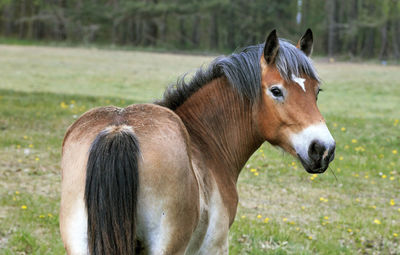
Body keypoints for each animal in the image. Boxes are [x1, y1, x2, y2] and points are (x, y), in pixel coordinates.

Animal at [59, 28, 334, 254]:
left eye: (317, 91)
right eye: (276, 90)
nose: (323, 149)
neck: (204, 142)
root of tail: (119, 129)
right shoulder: (215, 245)